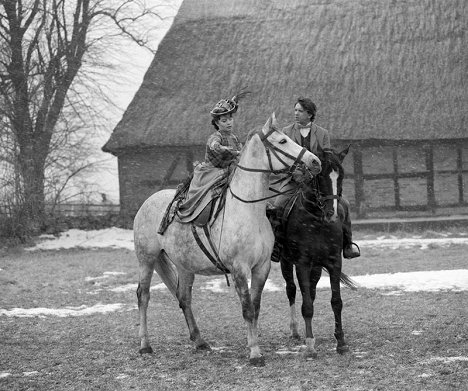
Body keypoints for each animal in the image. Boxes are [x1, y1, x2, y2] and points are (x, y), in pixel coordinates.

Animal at [133, 114, 320, 368]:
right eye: (282, 141)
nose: (315, 161)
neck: (249, 210)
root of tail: (147, 202)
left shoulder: (261, 268)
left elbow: (255, 307)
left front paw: (254, 344)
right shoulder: (239, 269)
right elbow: (247, 309)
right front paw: (255, 354)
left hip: (184, 266)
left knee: (184, 299)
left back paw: (200, 341)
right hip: (147, 259)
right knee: (143, 296)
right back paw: (145, 345)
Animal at [278, 145, 358, 360]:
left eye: (341, 176)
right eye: (320, 176)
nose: (333, 214)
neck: (317, 220)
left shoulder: (334, 262)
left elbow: (336, 302)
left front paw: (341, 342)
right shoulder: (302, 263)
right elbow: (306, 305)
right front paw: (310, 346)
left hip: (315, 267)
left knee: (311, 293)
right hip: (287, 262)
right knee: (291, 290)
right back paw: (295, 331)